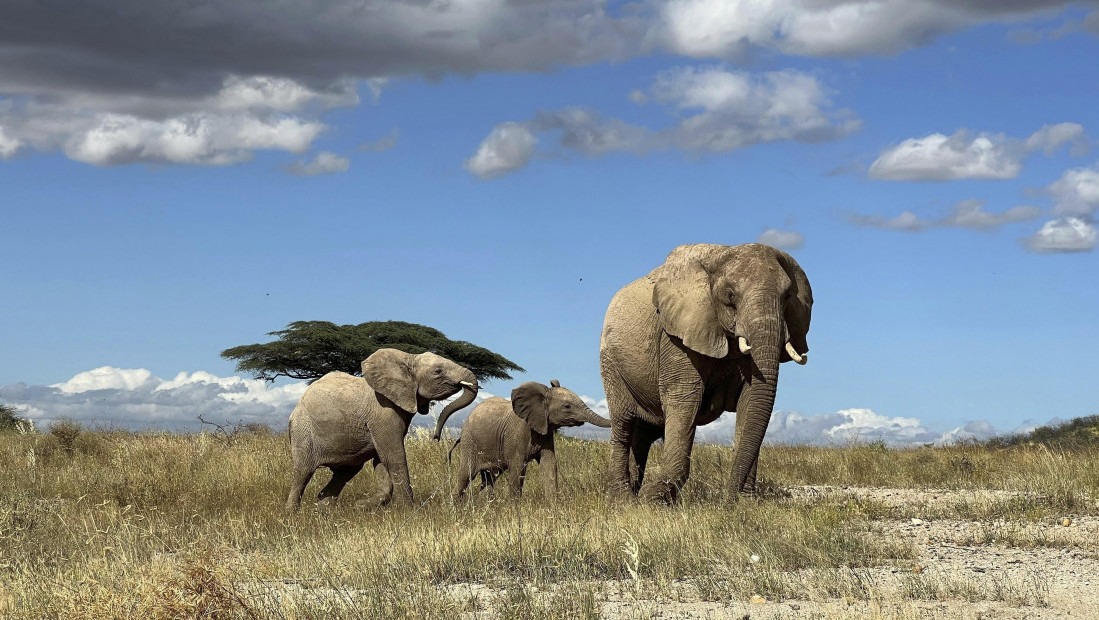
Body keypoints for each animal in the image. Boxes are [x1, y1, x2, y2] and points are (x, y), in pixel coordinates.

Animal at [283, 349, 476, 514]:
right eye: (438, 371)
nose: (435, 437)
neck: (409, 358)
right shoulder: (383, 412)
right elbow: (393, 455)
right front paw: (408, 509)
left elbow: (381, 460)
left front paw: (362, 505)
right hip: (303, 430)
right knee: (303, 471)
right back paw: (293, 514)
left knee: (346, 472)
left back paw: (324, 511)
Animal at [450, 380, 615, 501]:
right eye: (567, 406)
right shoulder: (518, 433)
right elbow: (517, 468)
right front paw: (514, 507)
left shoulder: (545, 431)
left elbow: (549, 464)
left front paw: (554, 505)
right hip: (470, 442)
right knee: (466, 474)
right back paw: (456, 506)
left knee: (490, 478)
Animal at [602, 241, 808, 503]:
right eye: (730, 296)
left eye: (787, 298)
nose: (728, 500)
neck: (721, 254)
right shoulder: (676, 336)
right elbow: (684, 399)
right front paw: (654, 500)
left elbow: (751, 402)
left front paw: (747, 502)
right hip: (610, 361)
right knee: (623, 424)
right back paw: (624, 499)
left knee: (644, 433)